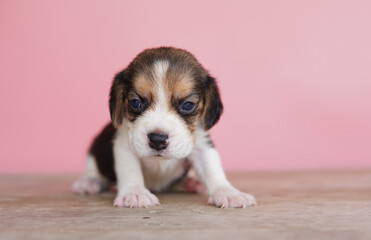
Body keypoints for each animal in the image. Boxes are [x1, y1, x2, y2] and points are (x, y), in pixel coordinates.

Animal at [73, 47, 258, 208]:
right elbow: (130, 169)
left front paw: (228, 192)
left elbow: (212, 168)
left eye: (188, 105)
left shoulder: (202, 144)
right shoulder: (124, 143)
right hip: (96, 148)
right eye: (135, 102)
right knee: (93, 168)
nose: (157, 139)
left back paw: (191, 183)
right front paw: (135, 192)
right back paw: (89, 182)